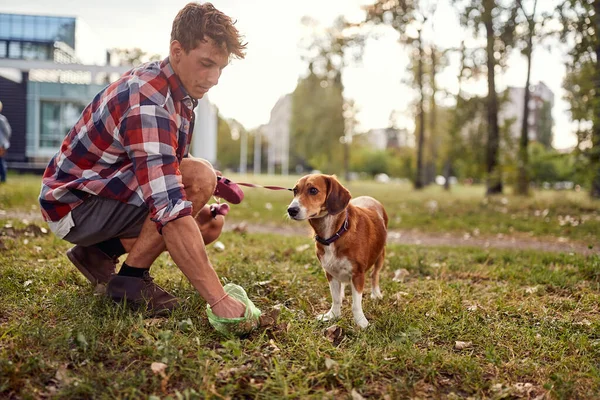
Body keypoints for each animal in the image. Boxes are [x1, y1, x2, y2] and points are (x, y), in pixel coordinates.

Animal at [288, 175, 390, 328]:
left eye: (313, 190)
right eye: (295, 191)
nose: (291, 210)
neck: (334, 233)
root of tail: (369, 198)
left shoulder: (358, 274)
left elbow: (356, 304)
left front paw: (361, 322)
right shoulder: (329, 272)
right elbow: (335, 298)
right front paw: (333, 315)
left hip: (380, 255)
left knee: (375, 274)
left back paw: (376, 293)